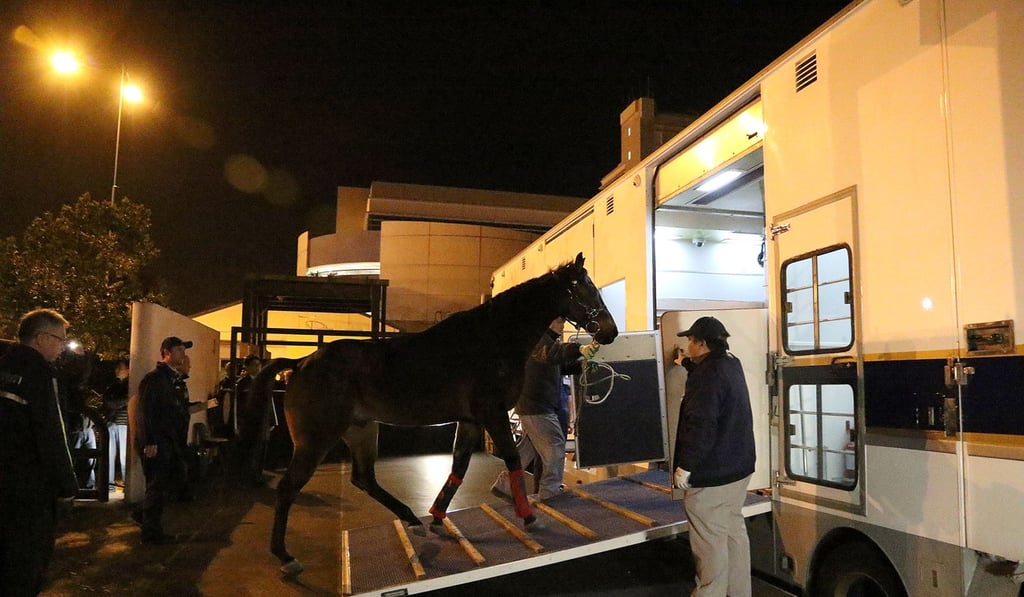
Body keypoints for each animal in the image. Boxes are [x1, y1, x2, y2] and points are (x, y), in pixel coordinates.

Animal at [246, 252, 618, 575]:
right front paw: (528, 516)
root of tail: (300, 363)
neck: (492, 339)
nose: (609, 331)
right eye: (586, 288)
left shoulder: (470, 421)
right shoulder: (493, 414)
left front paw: (438, 517)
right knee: (289, 488)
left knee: (364, 479)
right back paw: (285, 556)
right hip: (316, 440)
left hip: (361, 429)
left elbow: (459, 468)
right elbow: (512, 460)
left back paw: (413, 521)